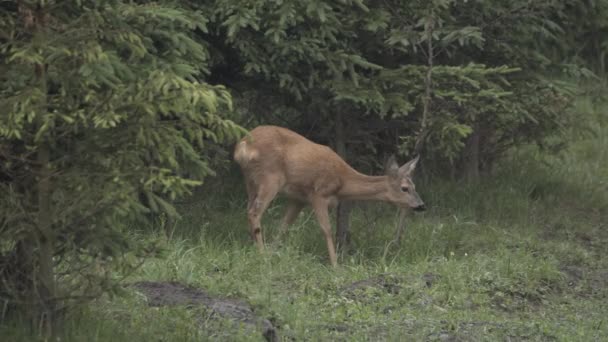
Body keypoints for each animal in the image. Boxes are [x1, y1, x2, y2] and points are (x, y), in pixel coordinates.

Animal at [235, 125, 426, 268]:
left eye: (415, 186)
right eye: (404, 188)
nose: (421, 205)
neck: (342, 183)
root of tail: (243, 147)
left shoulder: (299, 199)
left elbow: (284, 226)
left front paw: (273, 252)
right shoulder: (318, 194)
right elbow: (326, 229)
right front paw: (335, 265)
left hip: (250, 181)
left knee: (248, 210)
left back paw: (255, 246)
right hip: (270, 177)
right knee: (254, 212)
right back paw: (260, 253)